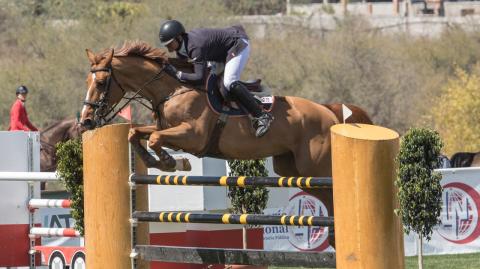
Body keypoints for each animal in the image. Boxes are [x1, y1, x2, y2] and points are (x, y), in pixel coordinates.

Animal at [79, 41, 372, 245]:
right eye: (87, 80)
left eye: (102, 82)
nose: (86, 122)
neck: (172, 90)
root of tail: (328, 110)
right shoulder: (167, 128)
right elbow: (137, 133)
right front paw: (159, 161)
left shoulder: (192, 136)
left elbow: (154, 137)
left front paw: (172, 162)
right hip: (293, 169)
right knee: (325, 196)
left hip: (316, 168)